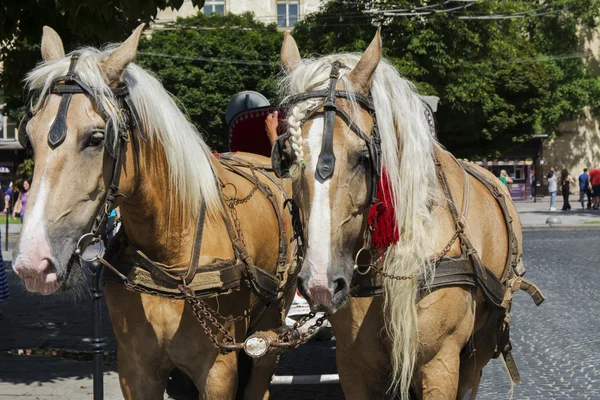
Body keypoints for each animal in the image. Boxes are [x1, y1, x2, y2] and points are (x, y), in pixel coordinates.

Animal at [14, 25, 302, 400]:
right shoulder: (136, 370)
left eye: (96, 138)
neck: (170, 252)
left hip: (269, 335)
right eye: (29, 138)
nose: (33, 264)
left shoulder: (219, 371)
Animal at [274, 29, 548, 398]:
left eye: (363, 157)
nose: (319, 283)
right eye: (288, 157)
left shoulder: (440, 363)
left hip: (480, 344)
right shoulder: (353, 366)